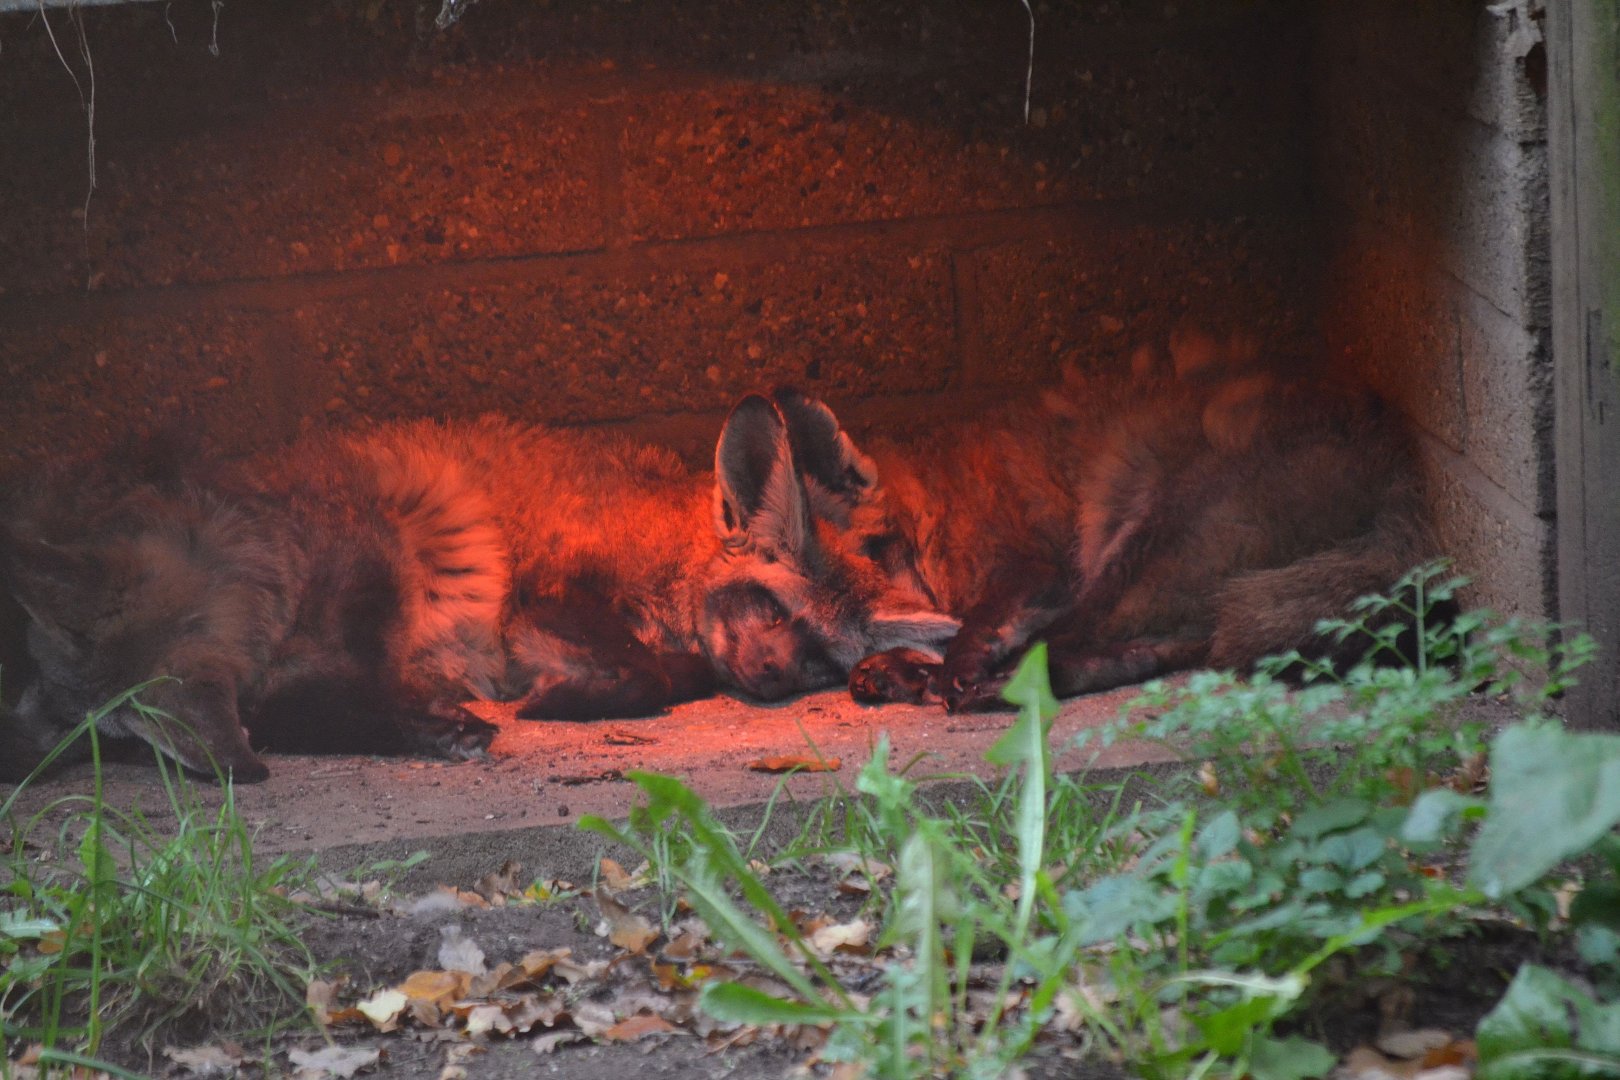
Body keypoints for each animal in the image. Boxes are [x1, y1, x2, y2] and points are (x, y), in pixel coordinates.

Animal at [0, 395, 956, 782]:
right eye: (769, 604)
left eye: (816, 658)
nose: (767, 677)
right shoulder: (544, 588)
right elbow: (647, 674)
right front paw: (557, 704)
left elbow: (663, 672)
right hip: (386, 546)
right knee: (281, 709)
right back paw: (445, 727)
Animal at [764, 334, 1441, 712]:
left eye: (867, 560)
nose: (779, 662)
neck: (937, 503)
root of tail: (1400, 460)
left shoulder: (1033, 566)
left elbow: (982, 626)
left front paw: (951, 662)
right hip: (1183, 576)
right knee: (1154, 651)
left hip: (1149, 534)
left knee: (1070, 639)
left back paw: (971, 682)